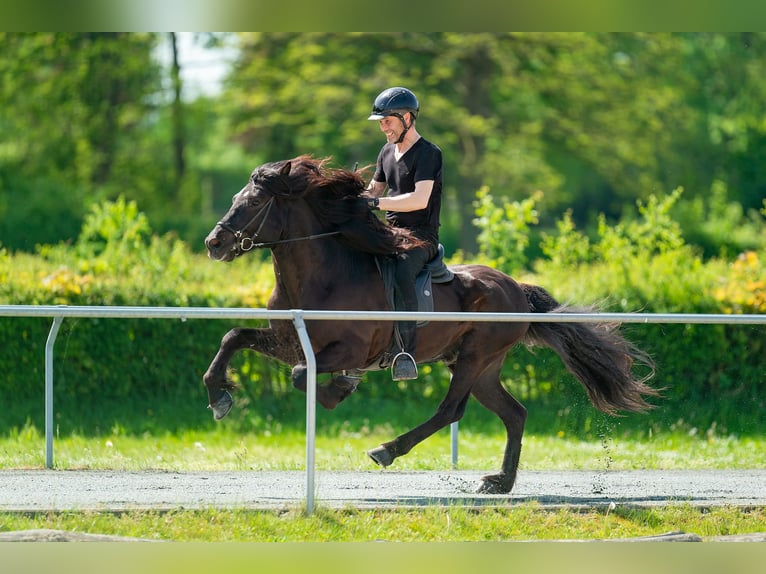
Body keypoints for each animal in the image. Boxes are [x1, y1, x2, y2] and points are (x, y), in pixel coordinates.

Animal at [206, 156, 660, 496]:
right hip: (481, 365)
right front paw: (219, 397)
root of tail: (516, 287)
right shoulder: (288, 339)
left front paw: (338, 390)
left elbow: (303, 375)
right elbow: (233, 337)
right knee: (514, 413)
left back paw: (388, 449)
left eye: (252, 204)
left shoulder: (349, 349)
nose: (214, 243)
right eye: (234, 198)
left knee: (450, 409)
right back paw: (500, 481)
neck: (325, 274)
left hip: (476, 355)